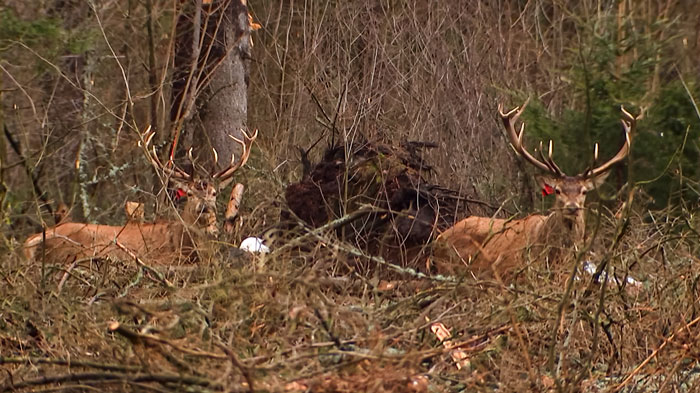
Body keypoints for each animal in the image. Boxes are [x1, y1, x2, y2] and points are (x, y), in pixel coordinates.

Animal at [21, 128, 258, 264]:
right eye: (190, 193)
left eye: (214, 192)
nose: (205, 209)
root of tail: (32, 240)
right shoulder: (162, 258)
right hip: (76, 250)